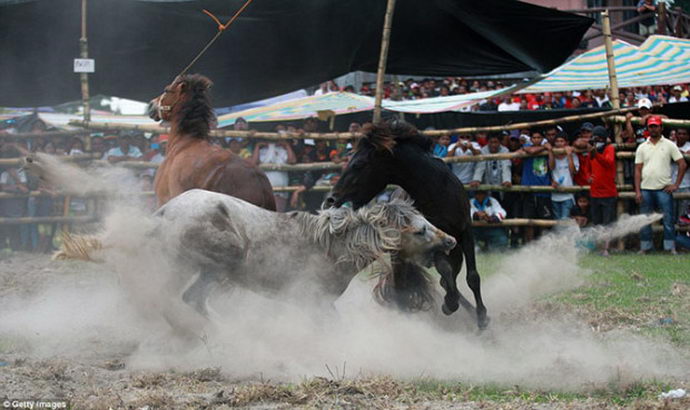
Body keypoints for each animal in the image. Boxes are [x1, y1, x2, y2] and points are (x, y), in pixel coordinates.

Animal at [326, 120, 486, 328]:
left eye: (358, 164)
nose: (331, 199)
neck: (436, 193)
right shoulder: (434, 242)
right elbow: (445, 271)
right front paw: (450, 305)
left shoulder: (465, 232)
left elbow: (472, 277)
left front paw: (482, 318)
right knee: (402, 290)